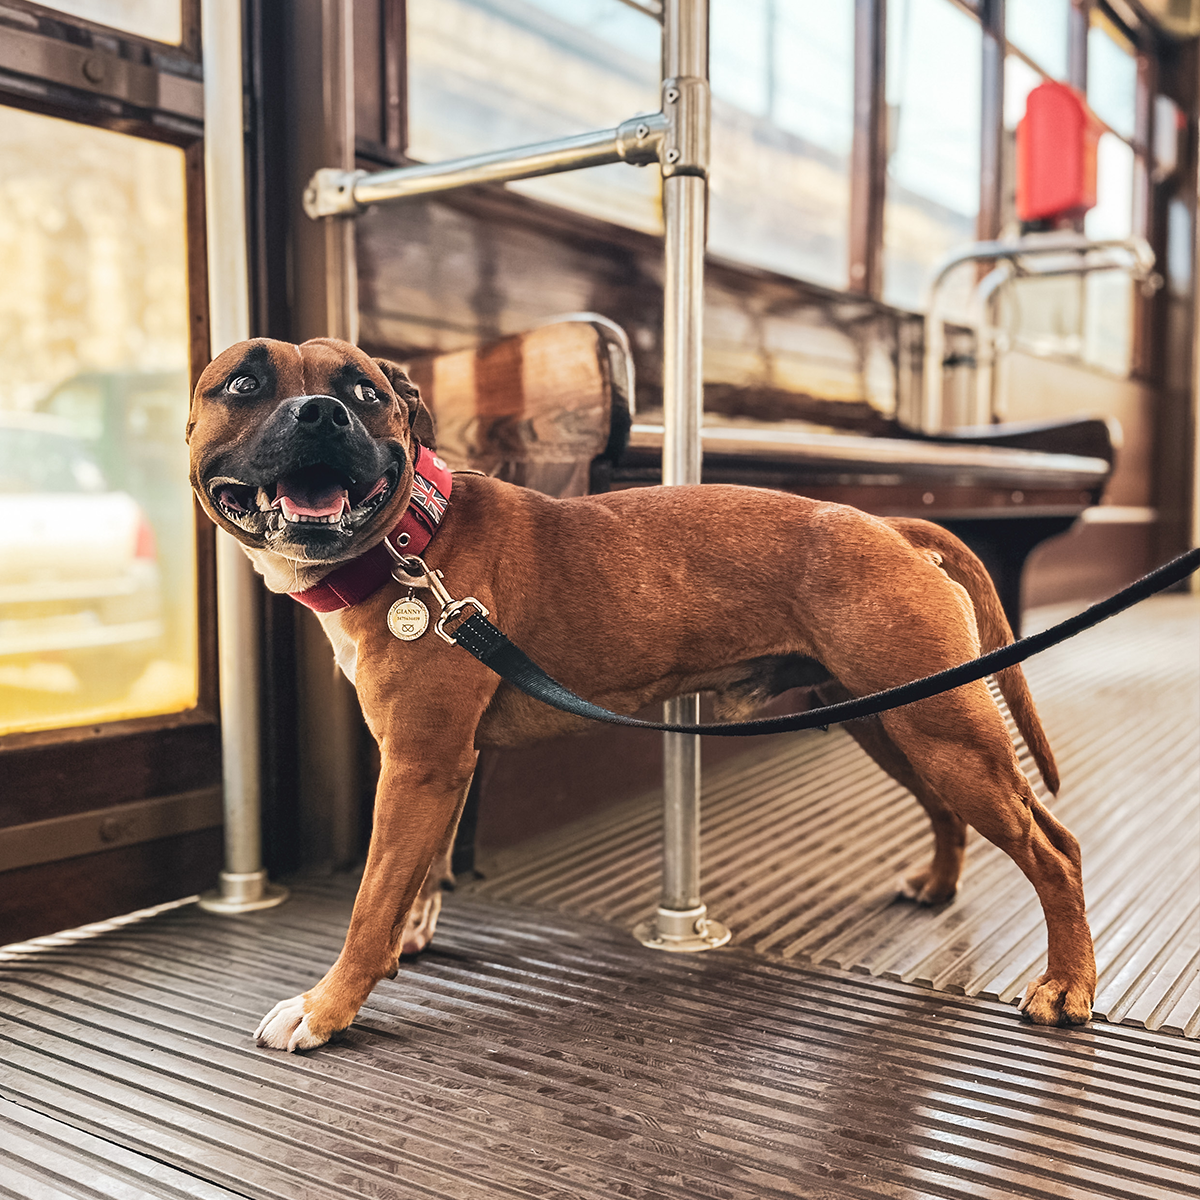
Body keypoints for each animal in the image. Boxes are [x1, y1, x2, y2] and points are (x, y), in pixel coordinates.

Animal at [187, 336, 1099, 1051]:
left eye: (366, 392)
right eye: (243, 383)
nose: (319, 414)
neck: (412, 540)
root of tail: (886, 525)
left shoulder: (418, 765)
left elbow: (370, 902)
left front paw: (327, 1008)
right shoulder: (443, 767)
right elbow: (420, 872)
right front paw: (412, 932)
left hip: (948, 735)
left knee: (1054, 848)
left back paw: (1068, 983)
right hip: (898, 723)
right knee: (954, 815)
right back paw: (940, 885)